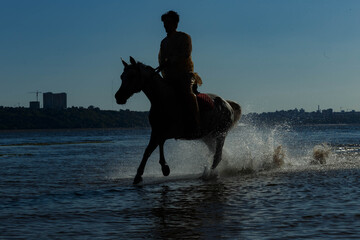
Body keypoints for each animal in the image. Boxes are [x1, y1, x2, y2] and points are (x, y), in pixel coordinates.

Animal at [115, 56, 242, 184]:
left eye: (132, 76)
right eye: (121, 76)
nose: (118, 96)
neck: (163, 99)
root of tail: (227, 104)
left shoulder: (168, 133)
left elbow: (154, 147)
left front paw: (160, 168)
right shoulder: (156, 131)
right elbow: (148, 150)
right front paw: (150, 172)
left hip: (220, 134)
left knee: (218, 156)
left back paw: (209, 173)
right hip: (208, 137)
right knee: (219, 154)